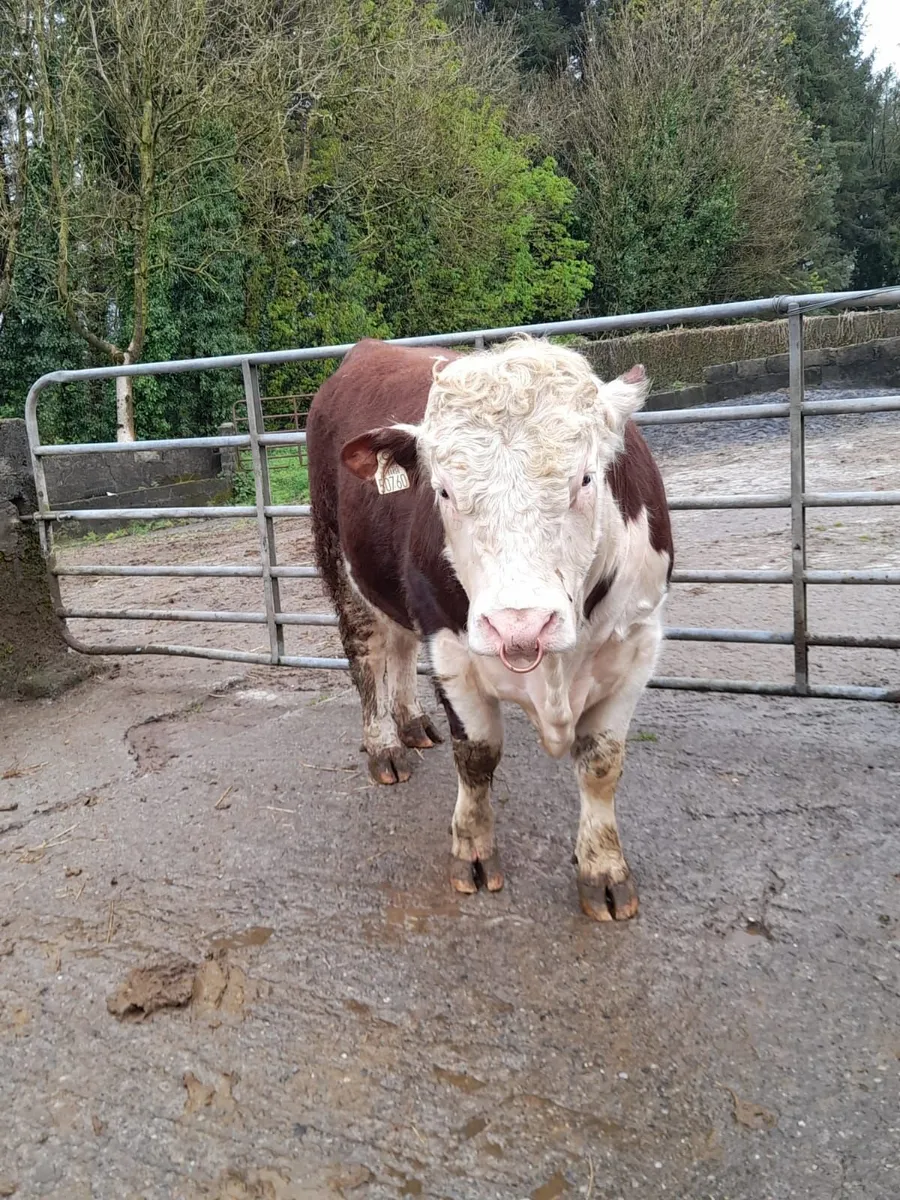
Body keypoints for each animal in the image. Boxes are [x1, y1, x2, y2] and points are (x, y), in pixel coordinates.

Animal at [306, 336, 673, 921]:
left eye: (585, 479)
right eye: (443, 492)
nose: (518, 625)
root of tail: (368, 349)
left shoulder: (638, 644)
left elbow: (601, 764)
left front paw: (604, 869)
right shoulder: (452, 648)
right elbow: (477, 757)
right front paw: (473, 853)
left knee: (400, 647)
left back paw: (413, 723)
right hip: (339, 559)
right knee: (368, 653)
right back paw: (385, 746)